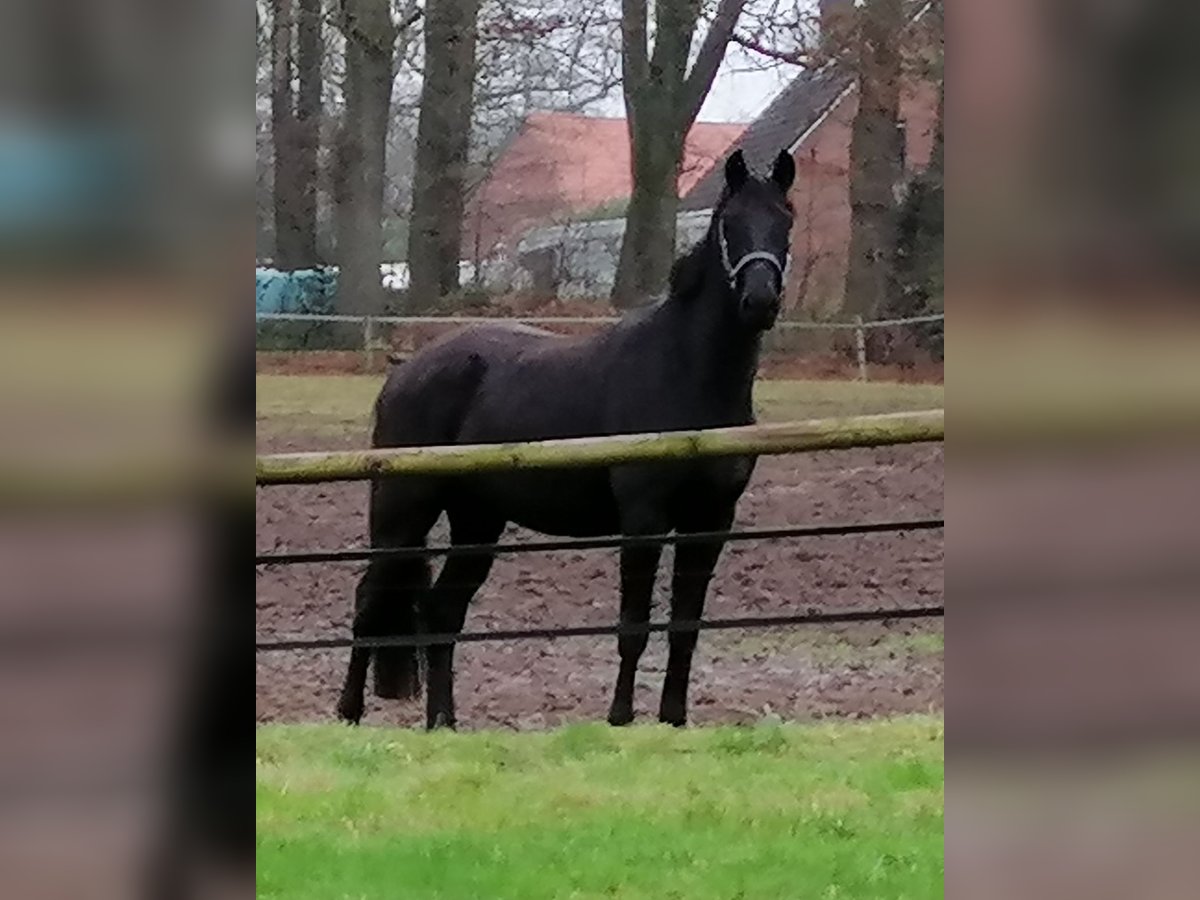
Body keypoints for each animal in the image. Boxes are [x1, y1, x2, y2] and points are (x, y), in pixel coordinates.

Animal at [336, 144, 796, 729]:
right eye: (729, 223)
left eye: (785, 219)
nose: (759, 300)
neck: (687, 374)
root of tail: (404, 371)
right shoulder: (644, 520)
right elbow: (633, 627)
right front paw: (620, 717)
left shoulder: (710, 521)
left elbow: (685, 629)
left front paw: (673, 720)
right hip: (402, 511)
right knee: (369, 601)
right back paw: (348, 713)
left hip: (477, 521)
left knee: (442, 610)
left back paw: (444, 723)